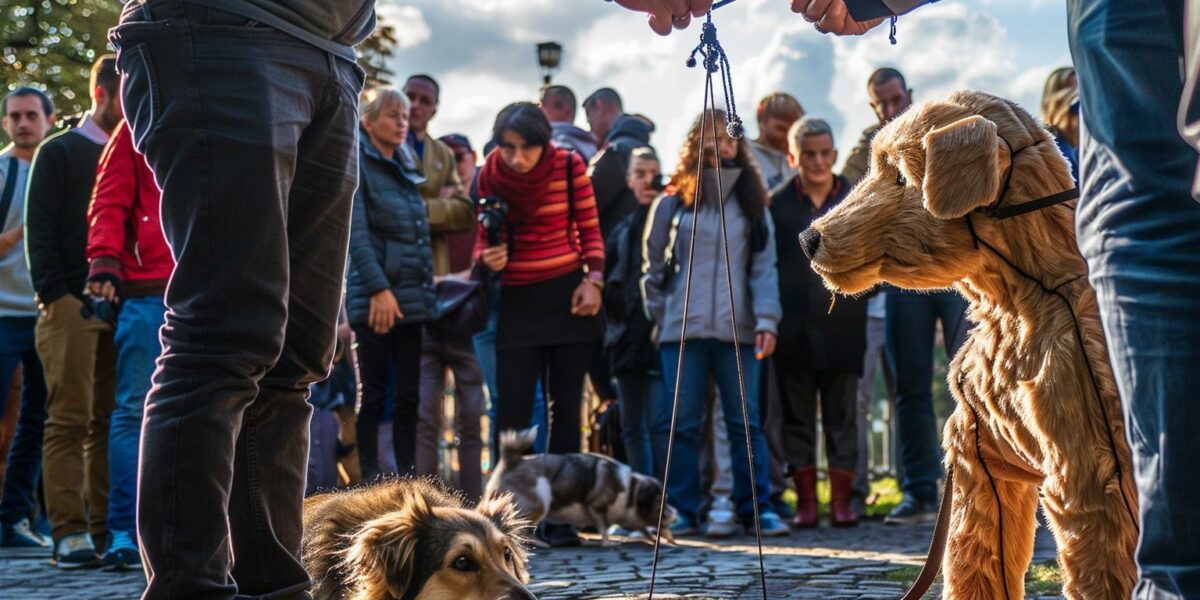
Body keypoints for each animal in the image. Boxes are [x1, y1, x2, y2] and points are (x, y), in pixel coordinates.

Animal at [484, 424, 676, 547]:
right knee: (522, 528)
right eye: (661, 504)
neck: (630, 492)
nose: (675, 513)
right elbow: (603, 526)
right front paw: (608, 543)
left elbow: (644, 529)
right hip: (539, 501)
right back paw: (539, 543)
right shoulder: (597, 505)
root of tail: (511, 461)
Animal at [806, 90, 1132, 600]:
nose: (808, 238)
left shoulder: (1091, 473)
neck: (1024, 299)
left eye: (901, 175)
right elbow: (975, 560)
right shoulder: (980, 460)